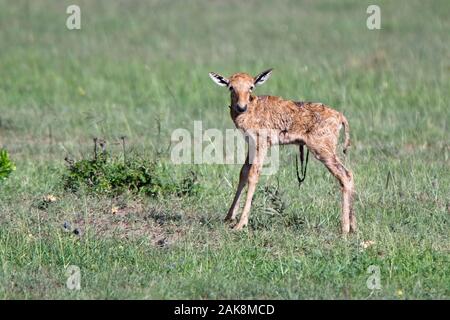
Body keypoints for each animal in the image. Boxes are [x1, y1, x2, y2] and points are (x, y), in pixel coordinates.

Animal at [210, 69, 356, 234]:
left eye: (251, 87)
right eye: (231, 87)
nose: (241, 107)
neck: (254, 107)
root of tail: (339, 116)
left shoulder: (262, 144)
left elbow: (254, 175)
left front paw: (240, 224)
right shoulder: (252, 145)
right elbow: (243, 173)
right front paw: (228, 217)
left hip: (323, 151)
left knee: (345, 175)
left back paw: (344, 229)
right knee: (349, 176)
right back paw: (353, 226)